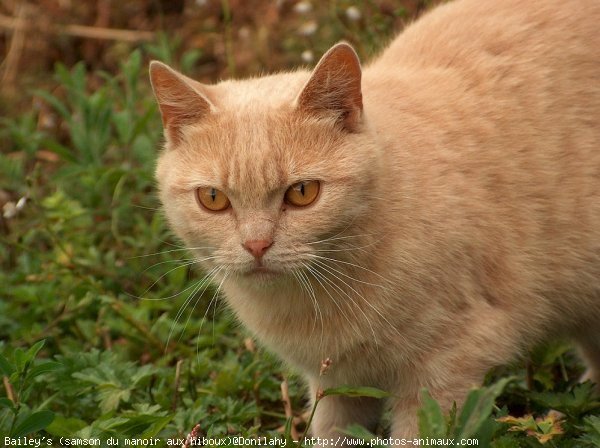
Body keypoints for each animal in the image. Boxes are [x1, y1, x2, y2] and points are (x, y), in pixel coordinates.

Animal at [149, 0, 600, 440]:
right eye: (213, 199)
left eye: (302, 193)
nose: (256, 245)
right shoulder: (335, 386)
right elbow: (331, 431)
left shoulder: (448, 368)